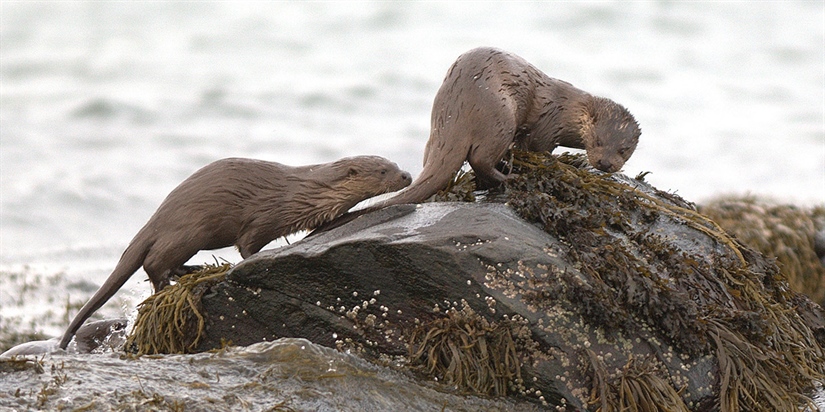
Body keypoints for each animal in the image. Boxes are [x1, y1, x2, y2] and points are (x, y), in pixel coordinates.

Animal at [59, 156, 412, 350]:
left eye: (394, 164)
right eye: (383, 171)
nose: (407, 175)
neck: (304, 193)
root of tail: (157, 217)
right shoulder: (264, 218)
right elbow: (247, 247)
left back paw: (191, 271)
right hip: (190, 230)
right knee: (154, 262)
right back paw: (172, 281)